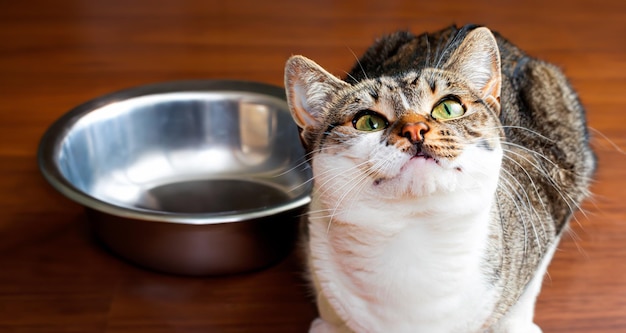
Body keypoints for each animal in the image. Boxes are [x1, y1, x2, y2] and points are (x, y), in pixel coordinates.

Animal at [282, 24, 596, 332]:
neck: (415, 231)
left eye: (449, 108)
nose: (414, 129)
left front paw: (516, 323)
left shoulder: (547, 202)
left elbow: (525, 291)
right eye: (368, 122)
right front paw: (329, 324)